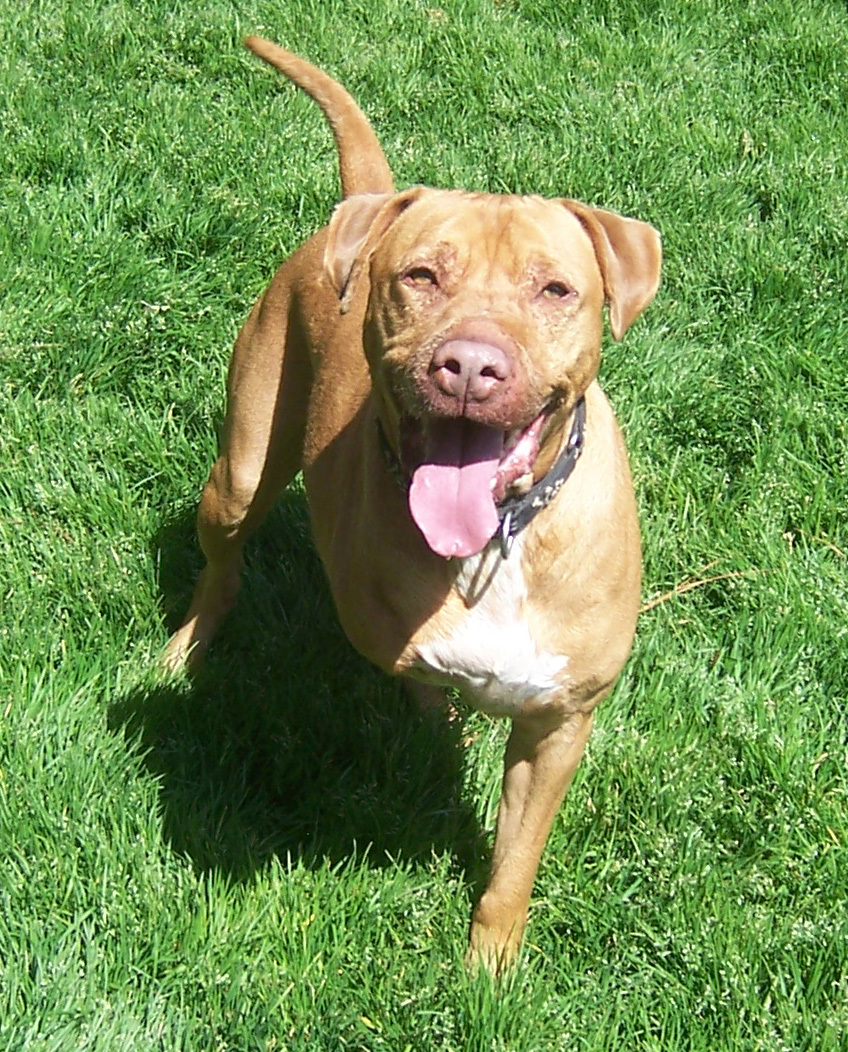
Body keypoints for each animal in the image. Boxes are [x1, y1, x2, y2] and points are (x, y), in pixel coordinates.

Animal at [163, 37, 660, 972]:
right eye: (421, 276)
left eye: (555, 291)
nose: (468, 365)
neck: (498, 540)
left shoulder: (559, 723)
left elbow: (513, 866)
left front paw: (490, 969)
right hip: (239, 472)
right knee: (224, 567)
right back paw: (186, 649)